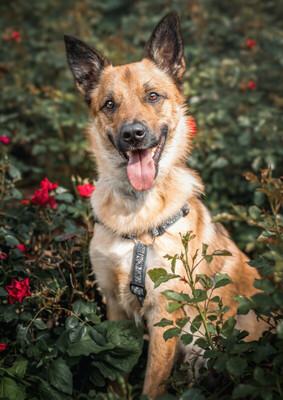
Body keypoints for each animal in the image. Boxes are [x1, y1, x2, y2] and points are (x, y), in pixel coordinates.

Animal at [65, 14, 268, 398]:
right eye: (109, 105)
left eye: (153, 96)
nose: (133, 135)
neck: (136, 212)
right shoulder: (115, 309)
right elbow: (115, 374)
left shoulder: (165, 317)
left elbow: (151, 384)